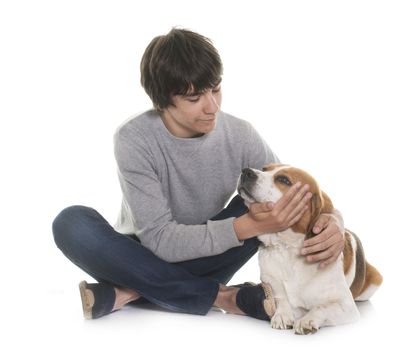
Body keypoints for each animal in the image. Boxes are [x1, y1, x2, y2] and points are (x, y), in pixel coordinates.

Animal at [236, 164, 382, 334]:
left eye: (283, 180)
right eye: (264, 168)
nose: (246, 171)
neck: (287, 249)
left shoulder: (347, 306)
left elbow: (320, 307)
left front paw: (307, 320)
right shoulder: (270, 282)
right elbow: (281, 297)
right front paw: (282, 314)